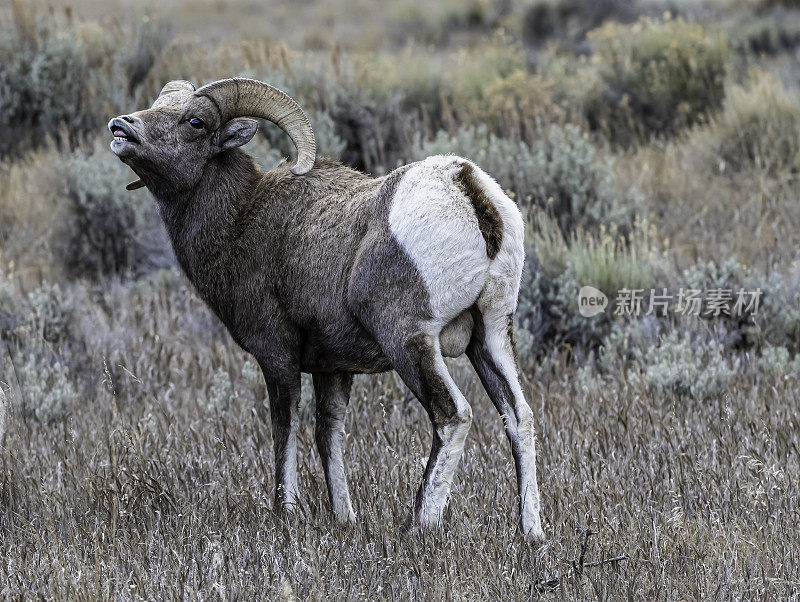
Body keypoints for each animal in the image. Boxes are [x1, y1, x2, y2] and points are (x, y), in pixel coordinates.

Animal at [108, 76, 544, 540]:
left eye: (194, 121)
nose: (121, 127)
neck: (240, 222)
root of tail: (465, 186)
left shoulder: (277, 355)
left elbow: (285, 428)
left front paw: (285, 512)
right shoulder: (332, 367)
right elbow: (328, 433)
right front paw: (343, 518)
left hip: (410, 341)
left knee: (452, 415)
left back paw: (418, 527)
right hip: (491, 336)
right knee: (519, 416)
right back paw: (530, 532)